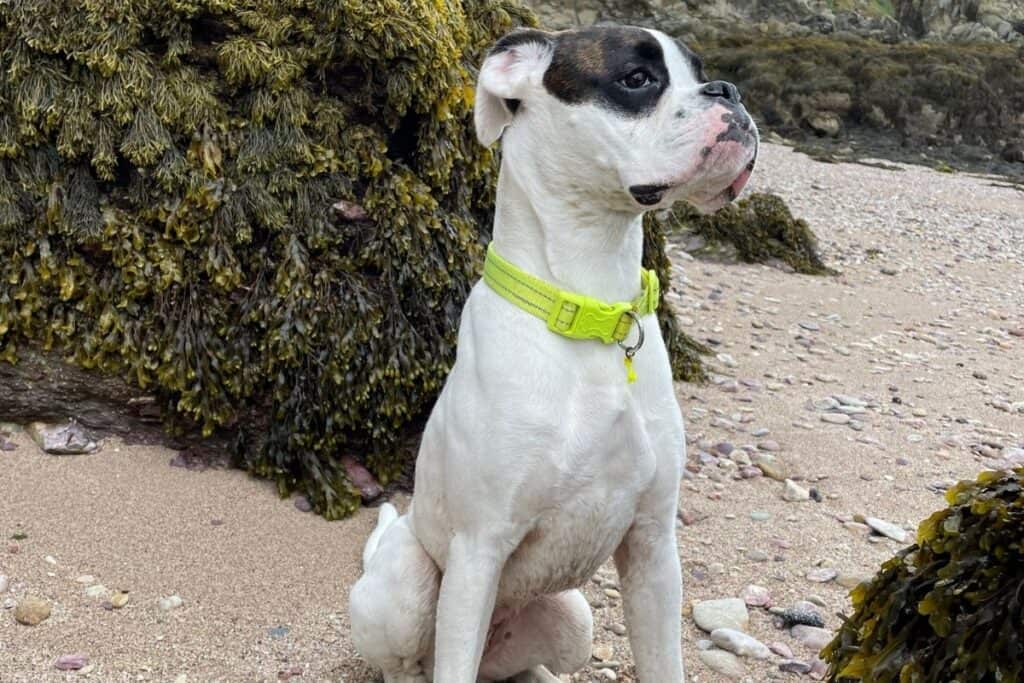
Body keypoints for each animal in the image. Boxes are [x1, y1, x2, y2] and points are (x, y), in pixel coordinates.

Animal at [348, 24, 757, 679]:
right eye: (636, 79)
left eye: (699, 72)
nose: (729, 91)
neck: (595, 311)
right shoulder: (478, 552)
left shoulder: (653, 551)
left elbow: (665, 661)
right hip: (410, 589)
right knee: (408, 665)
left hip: (573, 618)